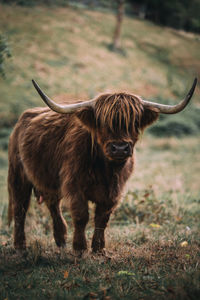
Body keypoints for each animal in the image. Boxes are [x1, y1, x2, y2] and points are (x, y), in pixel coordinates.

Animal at [7, 78, 197, 254]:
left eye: (134, 122)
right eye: (103, 123)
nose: (119, 148)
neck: (105, 169)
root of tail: (24, 117)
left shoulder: (114, 190)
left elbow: (102, 218)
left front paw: (98, 248)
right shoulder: (74, 186)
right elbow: (81, 215)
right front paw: (79, 248)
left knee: (52, 205)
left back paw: (61, 240)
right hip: (18, 176)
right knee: (20, 208)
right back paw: (20, 246)